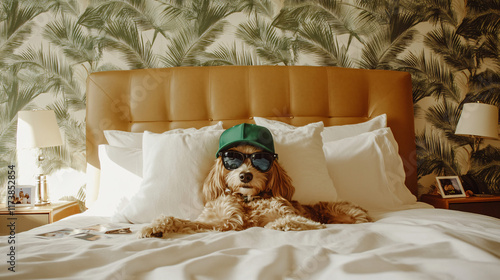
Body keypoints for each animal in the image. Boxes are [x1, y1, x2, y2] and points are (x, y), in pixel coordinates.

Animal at [139, 123, 370, 237]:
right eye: (232, 158)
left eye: (260, 160)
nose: (246, 175)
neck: (247, 201)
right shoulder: (223, 221)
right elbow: (184, 221)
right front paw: (155, 226)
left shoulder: (297, 216)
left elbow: (288, 221)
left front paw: (277, 225)